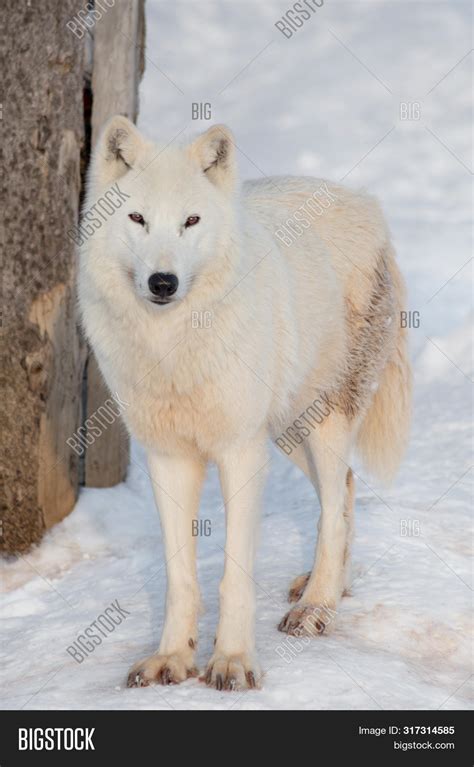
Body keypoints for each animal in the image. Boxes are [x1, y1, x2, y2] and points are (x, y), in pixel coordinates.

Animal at [78, 117, 412, 692]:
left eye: (191, 220)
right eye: (137, 218)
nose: (162, 282)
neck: (172, 348)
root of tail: (367, 204)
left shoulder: (239, 451)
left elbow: (234, 576)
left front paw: (232, 662)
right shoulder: (169, 457)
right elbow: (181, 578)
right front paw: (171, 659)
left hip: (319, 422)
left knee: (333, 504)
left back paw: (315, 607)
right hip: (285, 433)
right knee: (346, 489)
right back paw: (328, 587)